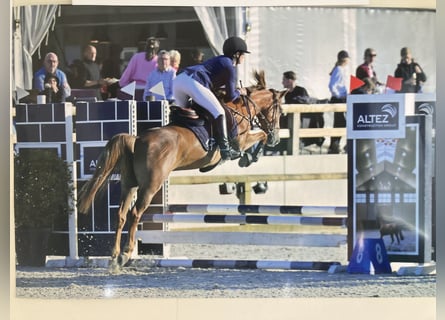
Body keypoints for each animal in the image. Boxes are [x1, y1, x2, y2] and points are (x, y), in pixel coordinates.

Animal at [76, 70, 286, 270]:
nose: (276, 138)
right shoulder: (240, 141)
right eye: (280, 111)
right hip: (151, 185)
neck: (239, 109)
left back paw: (114, 256)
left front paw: (252, 154)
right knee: (134, 213)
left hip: (130, 185)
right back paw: (125, 254)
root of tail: (136, 139)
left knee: (120, 214)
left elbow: (260, 135)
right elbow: (260, 135)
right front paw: (251, 156)